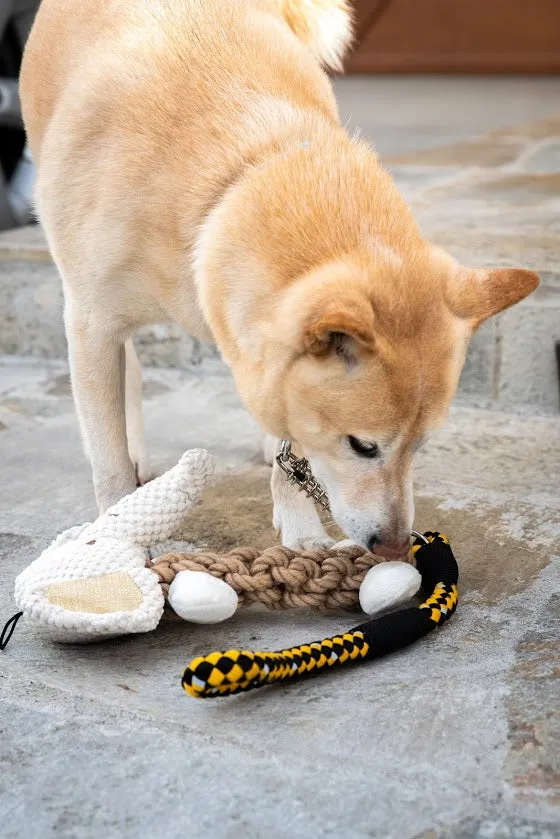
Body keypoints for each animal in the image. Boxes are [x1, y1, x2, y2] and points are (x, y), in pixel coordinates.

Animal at [20, 3, 540, 560]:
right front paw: (115, 538)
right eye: (363, 446)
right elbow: (108, 458)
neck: (233, 175)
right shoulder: (92, 326)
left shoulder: (274, 360)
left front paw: (301, 529)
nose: (396, 547)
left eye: (420, 446)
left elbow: (292, 446)